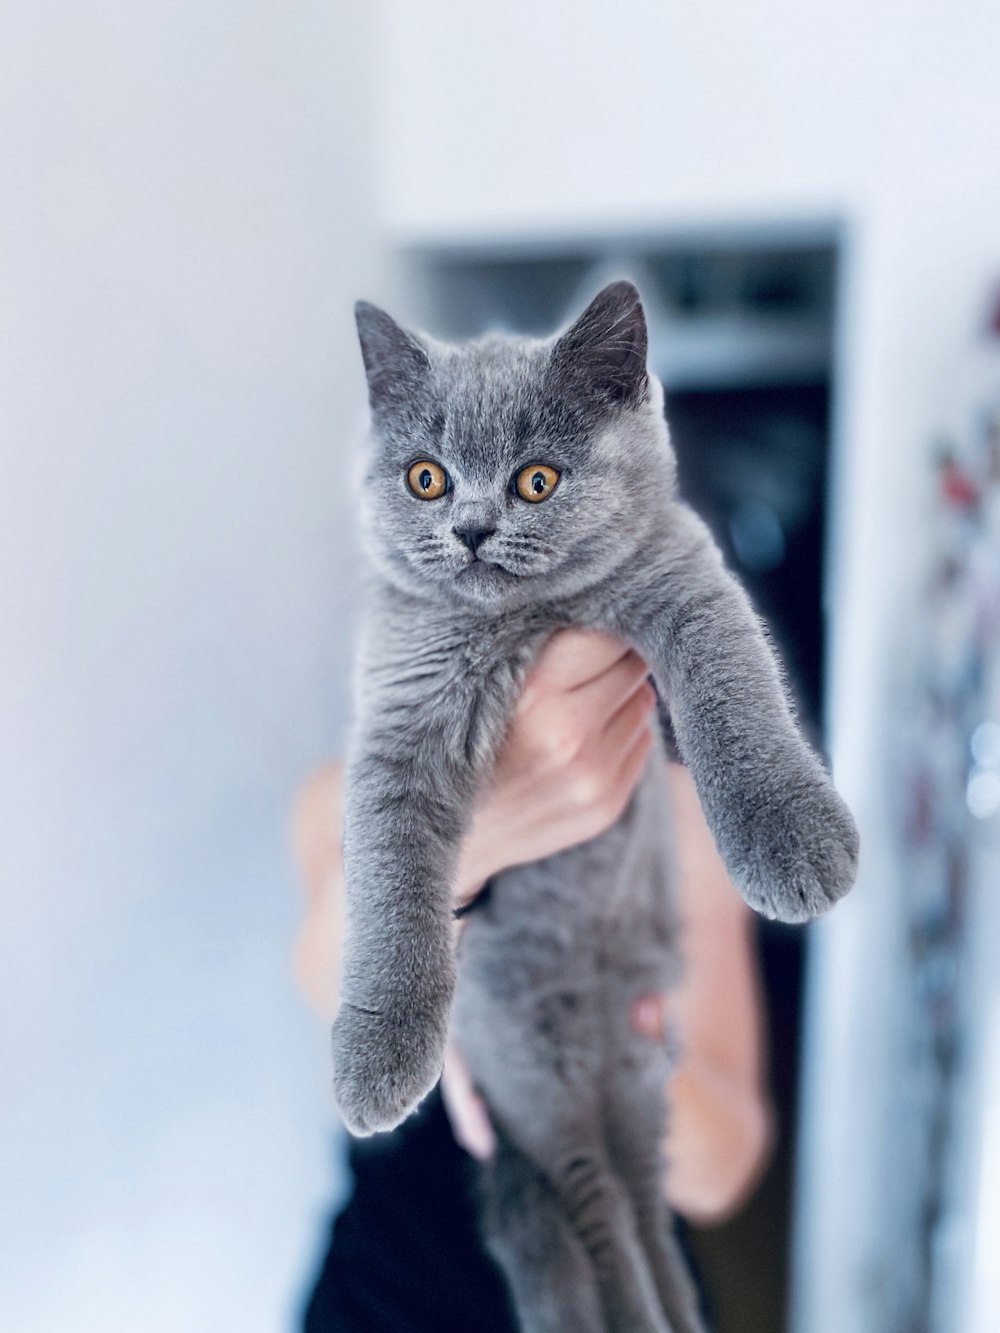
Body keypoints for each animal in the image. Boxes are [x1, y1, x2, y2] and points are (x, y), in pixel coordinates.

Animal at [330, 283, 864, 1333]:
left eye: (537, 480)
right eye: (425, 479)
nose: (471, 528)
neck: (527, 625)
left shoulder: (688, 587)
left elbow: (735, 699)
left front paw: (794, 837)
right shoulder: (397, 718)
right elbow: (389, 885)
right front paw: (376, 1055)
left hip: (638, 1068)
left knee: (643, 1197)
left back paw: (672, 1311)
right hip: (535, 1075)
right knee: (599, 1199)